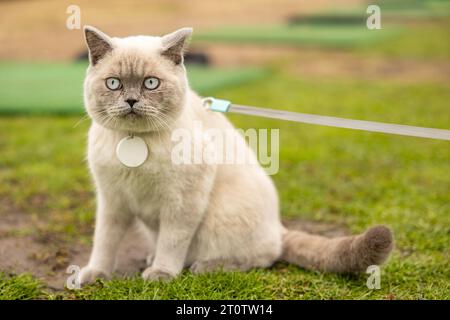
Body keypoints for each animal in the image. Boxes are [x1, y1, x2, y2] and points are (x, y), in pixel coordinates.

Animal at [78, 25, 394, 284]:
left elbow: (172, 241)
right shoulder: (112, 199)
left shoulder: (182, 202)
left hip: (222, 218)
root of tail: (278, 227)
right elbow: (104, 241)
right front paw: (95, 275)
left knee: (261, 256)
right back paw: (152, 258)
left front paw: (161, 274)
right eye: (114, 83)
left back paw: (201, 267)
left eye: (150, 83)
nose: (131, 101)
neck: (134, 141)